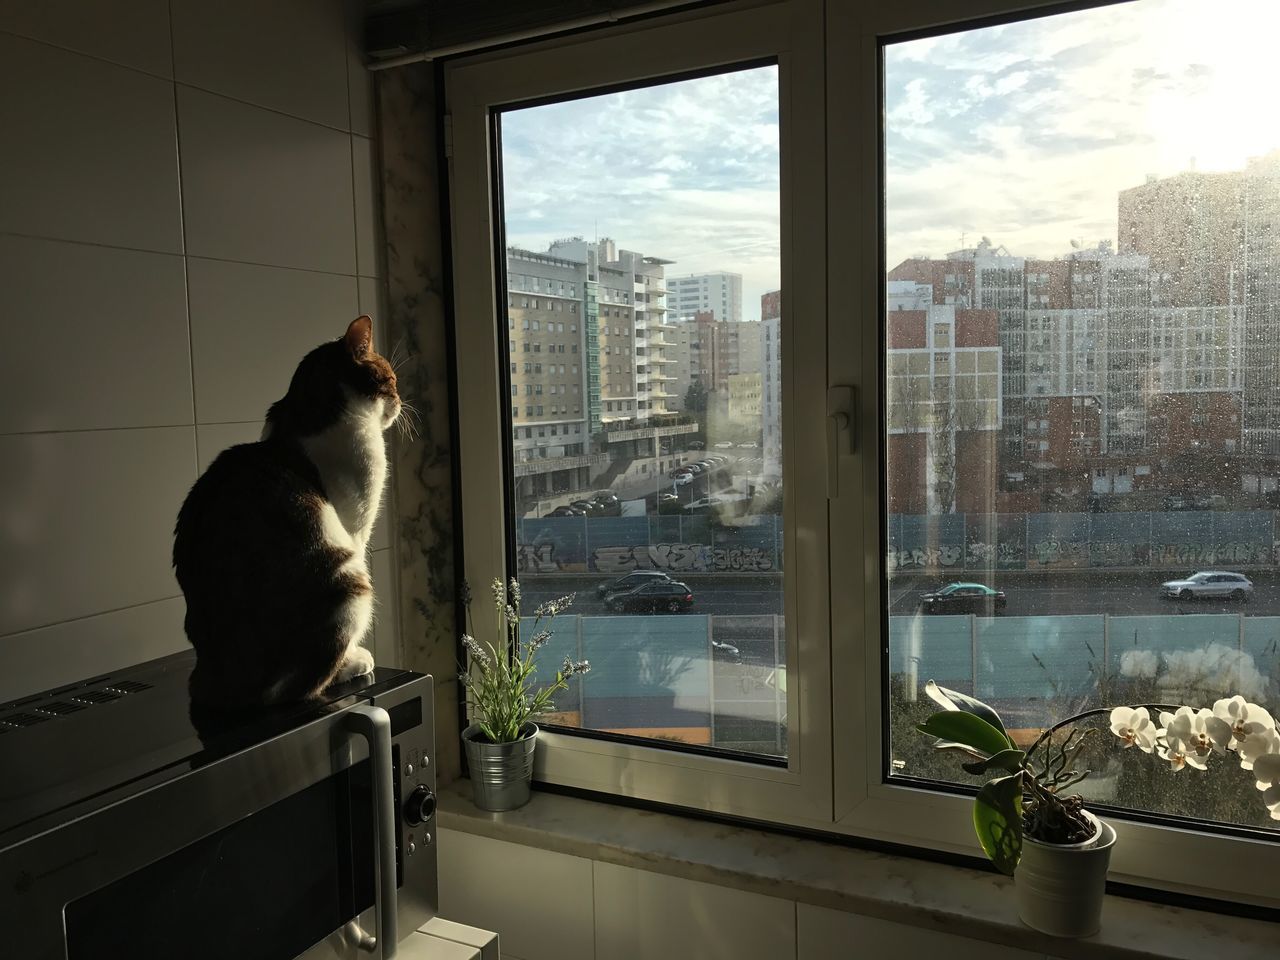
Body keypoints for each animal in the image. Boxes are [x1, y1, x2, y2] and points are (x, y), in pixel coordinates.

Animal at [172, 316, 396, 706]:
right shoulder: (355, 528)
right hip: (349, 580)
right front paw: (355, 657)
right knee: (293, 689)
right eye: (391, 379)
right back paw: (349, 667)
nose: (401, 401)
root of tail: (216, 684)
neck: (309, 413)